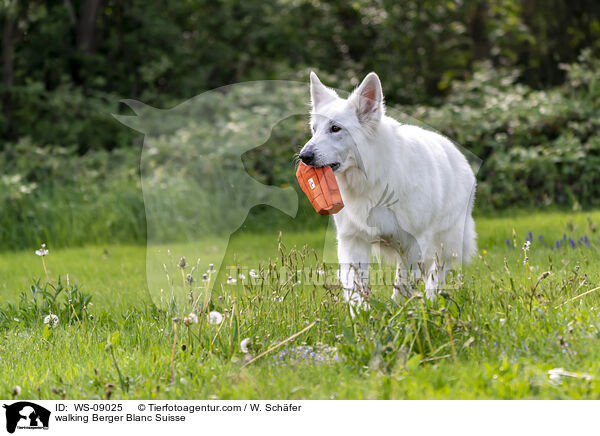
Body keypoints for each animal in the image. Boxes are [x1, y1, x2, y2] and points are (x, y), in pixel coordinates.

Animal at [300, 71, 478, 306]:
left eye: (335, 128)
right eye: (314, 129)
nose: (303, 157)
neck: (372, 182)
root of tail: (458, 154)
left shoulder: (414, 244)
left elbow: (402, 284)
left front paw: (398, 310)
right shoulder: (352, 240)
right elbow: (354, 286)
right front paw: (362, 313)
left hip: (446, 243)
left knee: (436, 275)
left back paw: (432, 302)